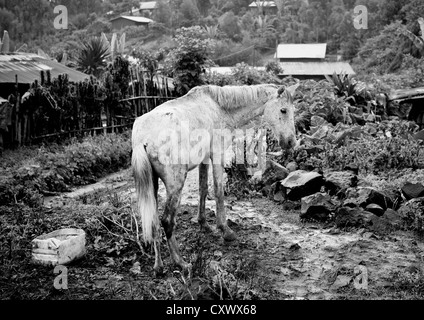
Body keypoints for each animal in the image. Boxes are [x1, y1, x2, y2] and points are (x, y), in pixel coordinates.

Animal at [132, 84, 298, 274]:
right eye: (283, 110)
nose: (291, 142)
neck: (220, 107)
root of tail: (143, 139)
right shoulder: (217, 155)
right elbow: (218, 191)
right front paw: (225, 230)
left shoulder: (204, 159)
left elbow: (203, 189)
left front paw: (204, 224)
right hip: (175, 184)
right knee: (167, 221)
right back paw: (180, 263)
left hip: (152, 185)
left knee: (153, 221)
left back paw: (158, 266)